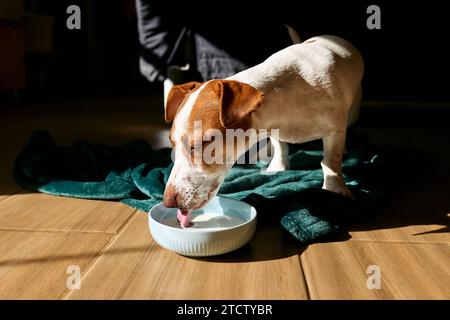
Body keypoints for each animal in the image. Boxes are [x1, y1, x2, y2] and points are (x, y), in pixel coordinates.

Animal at [162, 35, 362, 228]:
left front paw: (335, 189)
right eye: (172, 144)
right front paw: (279, 165)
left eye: (200, 144)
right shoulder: (273, 128)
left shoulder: (335, 129)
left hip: (352, 112)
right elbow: (280, 145)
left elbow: (331, 161)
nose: (167, 202)